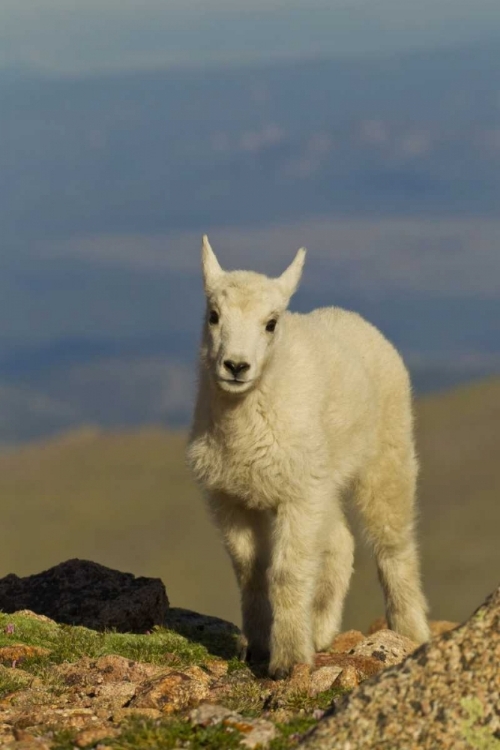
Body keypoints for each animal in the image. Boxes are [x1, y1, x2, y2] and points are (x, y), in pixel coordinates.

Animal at [188, 239, 430, 680]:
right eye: (213, 316)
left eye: (271, 323)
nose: (236, 366)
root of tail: (355, 320)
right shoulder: (231, 497)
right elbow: (251, 571)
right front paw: (259, 647)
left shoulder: (297, 495)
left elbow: (287, 572)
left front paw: (287, 660)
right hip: (325, 479)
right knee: (340, 544)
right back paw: (319, 630)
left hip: (387, 455)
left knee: (393, 545)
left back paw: (409, 632)